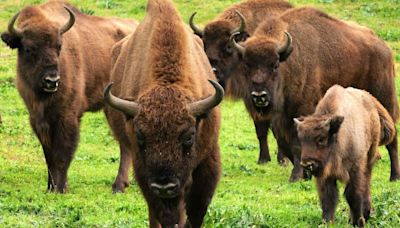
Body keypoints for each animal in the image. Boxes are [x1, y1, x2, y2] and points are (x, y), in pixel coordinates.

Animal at [0, 0, 137, 192]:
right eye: (28, 49)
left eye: (59, 47)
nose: (52, 80)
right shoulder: (38, 120)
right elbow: (48, 155)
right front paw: (51, 187)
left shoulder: (68, 117)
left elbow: (62, 154)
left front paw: (61, 188)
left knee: (125, 142)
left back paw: (118, 186)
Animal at [103, 0, 223, 226]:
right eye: (141, 136)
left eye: (189, 136)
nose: (164, 186)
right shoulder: (144, 171)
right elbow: (163, 214)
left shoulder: (207, 159)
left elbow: (197, 209)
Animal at [189, 0, 292, 164]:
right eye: (204, 44)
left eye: (228, 46)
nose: (212, 70)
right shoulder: (252, 100)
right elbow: (260, 130)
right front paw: (263, 159)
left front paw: (282, 160)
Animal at [230, 6, 398, 182]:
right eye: (247, 65)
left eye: (275, 65)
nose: (259, 96)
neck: (290, 60)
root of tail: (385, 49)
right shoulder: (280, 120)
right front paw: (306, 175)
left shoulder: (302, 113)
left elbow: (298, 145)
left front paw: (296, 177)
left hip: (385, 101)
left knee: (392, 138)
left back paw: (394, 176)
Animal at [294, 85, 394, 226]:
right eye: (301, 140)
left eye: (321, 139)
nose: (307, 164)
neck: (337, 137)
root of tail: (371, 100)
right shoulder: (326, 176)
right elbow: (328, 198)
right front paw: (327, 222)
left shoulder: (354, 170)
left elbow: (352, 195)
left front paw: (358, 222)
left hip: (369, 158)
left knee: (366, 184)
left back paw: (365, 214)